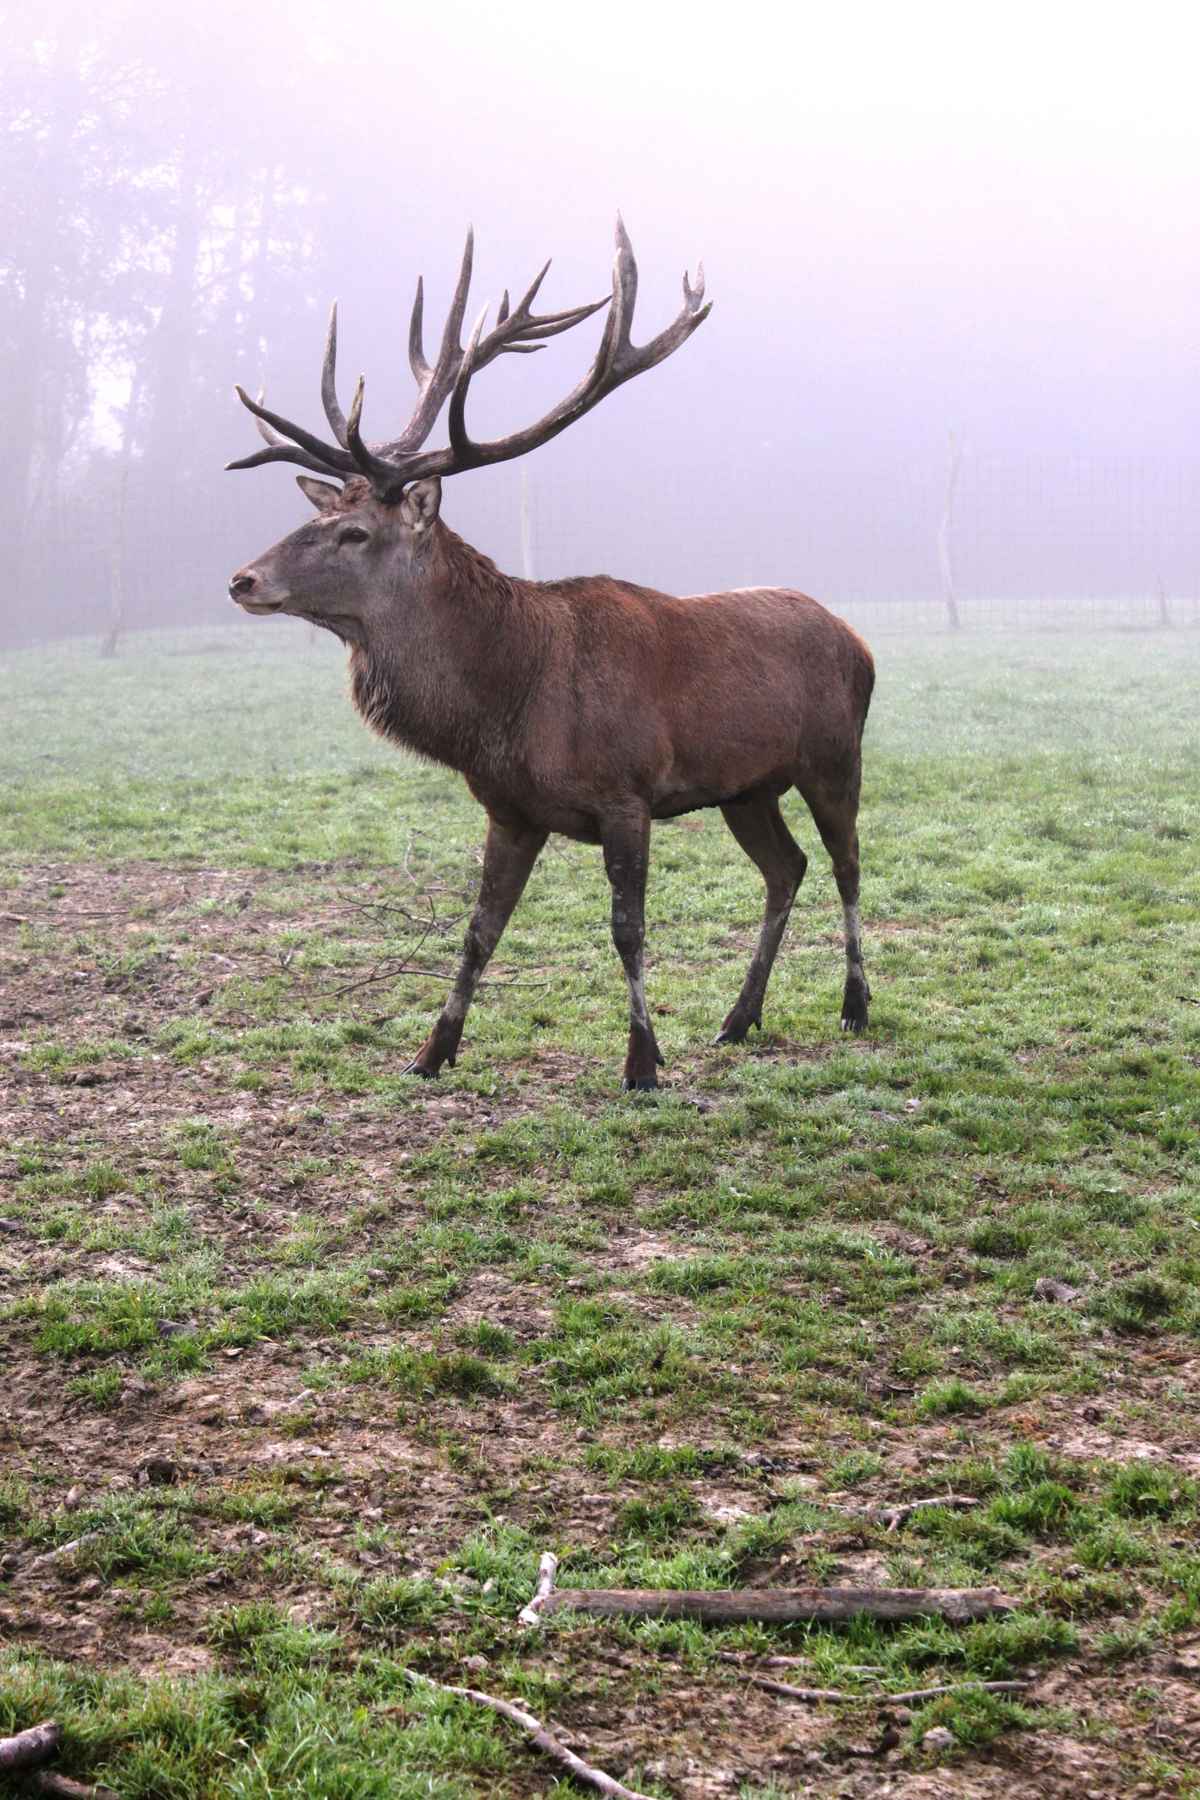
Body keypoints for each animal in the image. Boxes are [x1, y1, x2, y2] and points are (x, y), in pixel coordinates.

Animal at [227, 220, 874, 1090]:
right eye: (319, 517)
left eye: (354, 533)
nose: (243, 578)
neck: (505, 703)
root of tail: (857, 639)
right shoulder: (509, 807)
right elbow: (478, 930)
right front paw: (430, 1052)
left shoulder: (627, 793)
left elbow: (627, 930)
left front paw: (641, 1062)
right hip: (746, 788)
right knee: (787, 868)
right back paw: (739, 1019)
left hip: (834, 756)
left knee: (846, 864)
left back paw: (854, 1005)